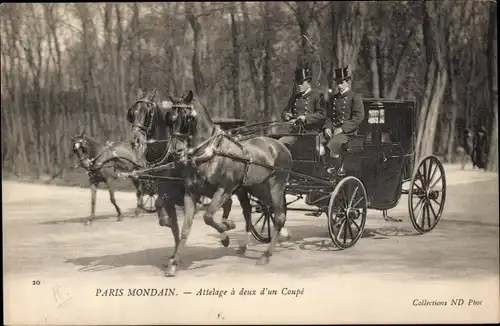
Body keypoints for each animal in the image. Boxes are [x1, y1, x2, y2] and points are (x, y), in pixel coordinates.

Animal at [164, 90, 292, 276]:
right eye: (170, 118)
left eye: (188, 118)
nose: (176, 151)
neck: (210, 152)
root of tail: (279, 144)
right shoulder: (191, 193)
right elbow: (185, 229)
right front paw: (173, 263)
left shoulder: (224, 189)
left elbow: (208, 217)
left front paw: (226, 231)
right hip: (256, 188)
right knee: (259, 213)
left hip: (275, 186)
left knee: (278, 216)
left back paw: (266, 255)